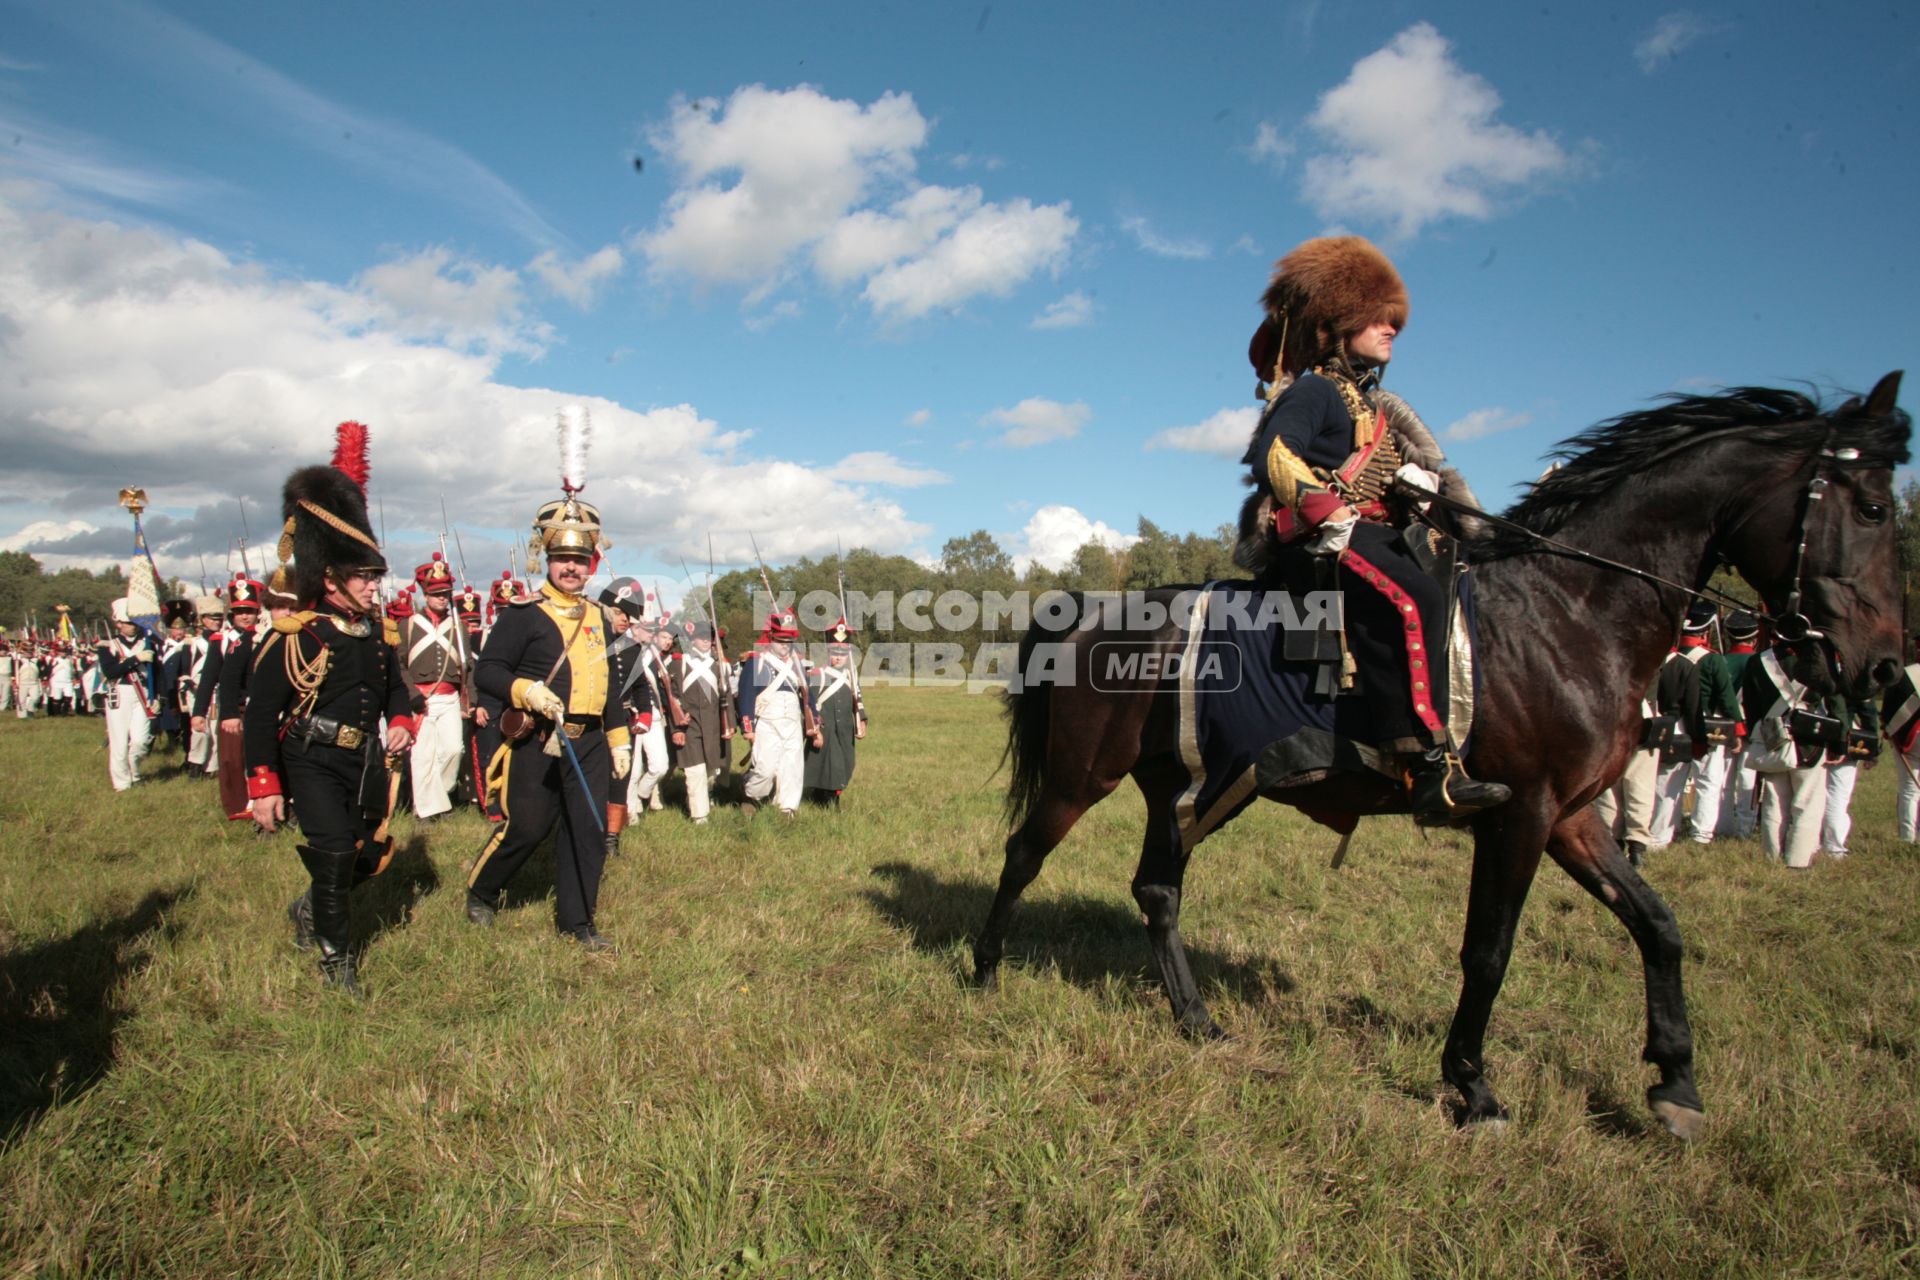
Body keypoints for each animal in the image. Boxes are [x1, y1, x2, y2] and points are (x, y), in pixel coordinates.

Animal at [983, 372, 1912, 1143]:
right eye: (1872, 509)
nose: (1879, 668)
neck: (1571, 611)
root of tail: (1091, 612)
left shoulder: (1572, 816)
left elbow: (1657, 924)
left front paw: (1676, 1083)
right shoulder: (1520, 814)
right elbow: (1489, 951)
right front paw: (1474, 1088)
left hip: (1189, 790)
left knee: (1157, 890)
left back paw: (1198, 1021)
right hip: (1084, 777)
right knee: (1025, 854)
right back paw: (985, 974)